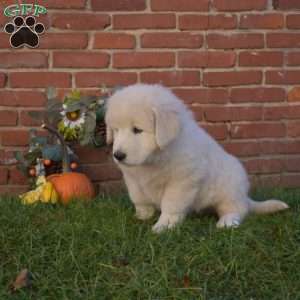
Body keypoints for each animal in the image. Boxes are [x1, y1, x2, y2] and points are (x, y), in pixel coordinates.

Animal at [105, 83, 288, 233]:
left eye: (137, 130)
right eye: (116, 130)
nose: (118, 155)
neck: (155, 157)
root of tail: (245, 196)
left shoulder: (182, 180)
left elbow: (171, 204)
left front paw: (164, 225)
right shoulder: (133, 179)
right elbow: (139, 198)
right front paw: (141, 216)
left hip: (230, 187)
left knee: (236, 209)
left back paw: (227, 221)